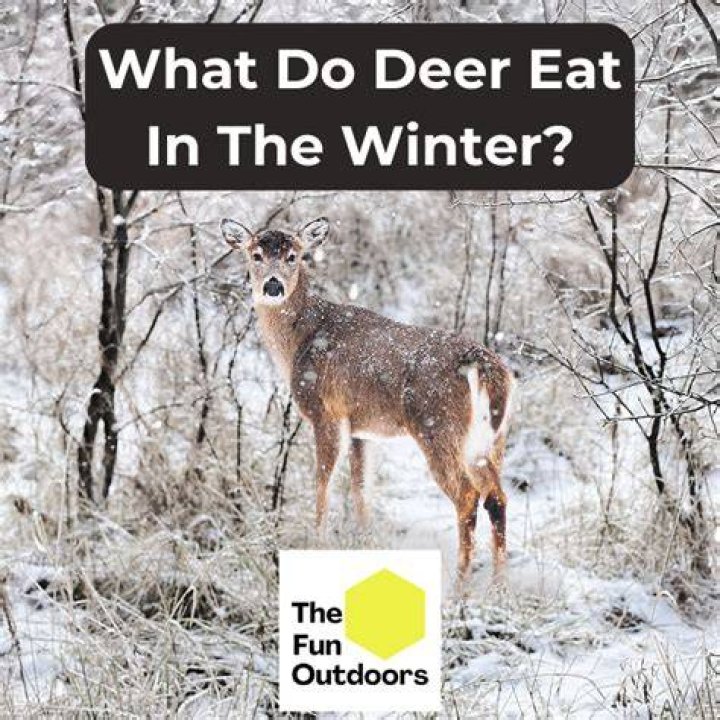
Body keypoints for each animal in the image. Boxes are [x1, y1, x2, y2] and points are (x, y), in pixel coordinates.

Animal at [221, 217, 513, 582]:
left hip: (438, 427)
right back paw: (499, 584)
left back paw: (461, 582)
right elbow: (361, 492)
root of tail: (483, 365)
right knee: (497, 497)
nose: (273, 287)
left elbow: (323, 485)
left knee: (468, 495)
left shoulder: (326, 412)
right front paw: (364, 543)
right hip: (491, 439)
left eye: (294, 256)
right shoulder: (361, 428)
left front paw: (318, 544)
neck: (299, 341)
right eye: (256, 255)